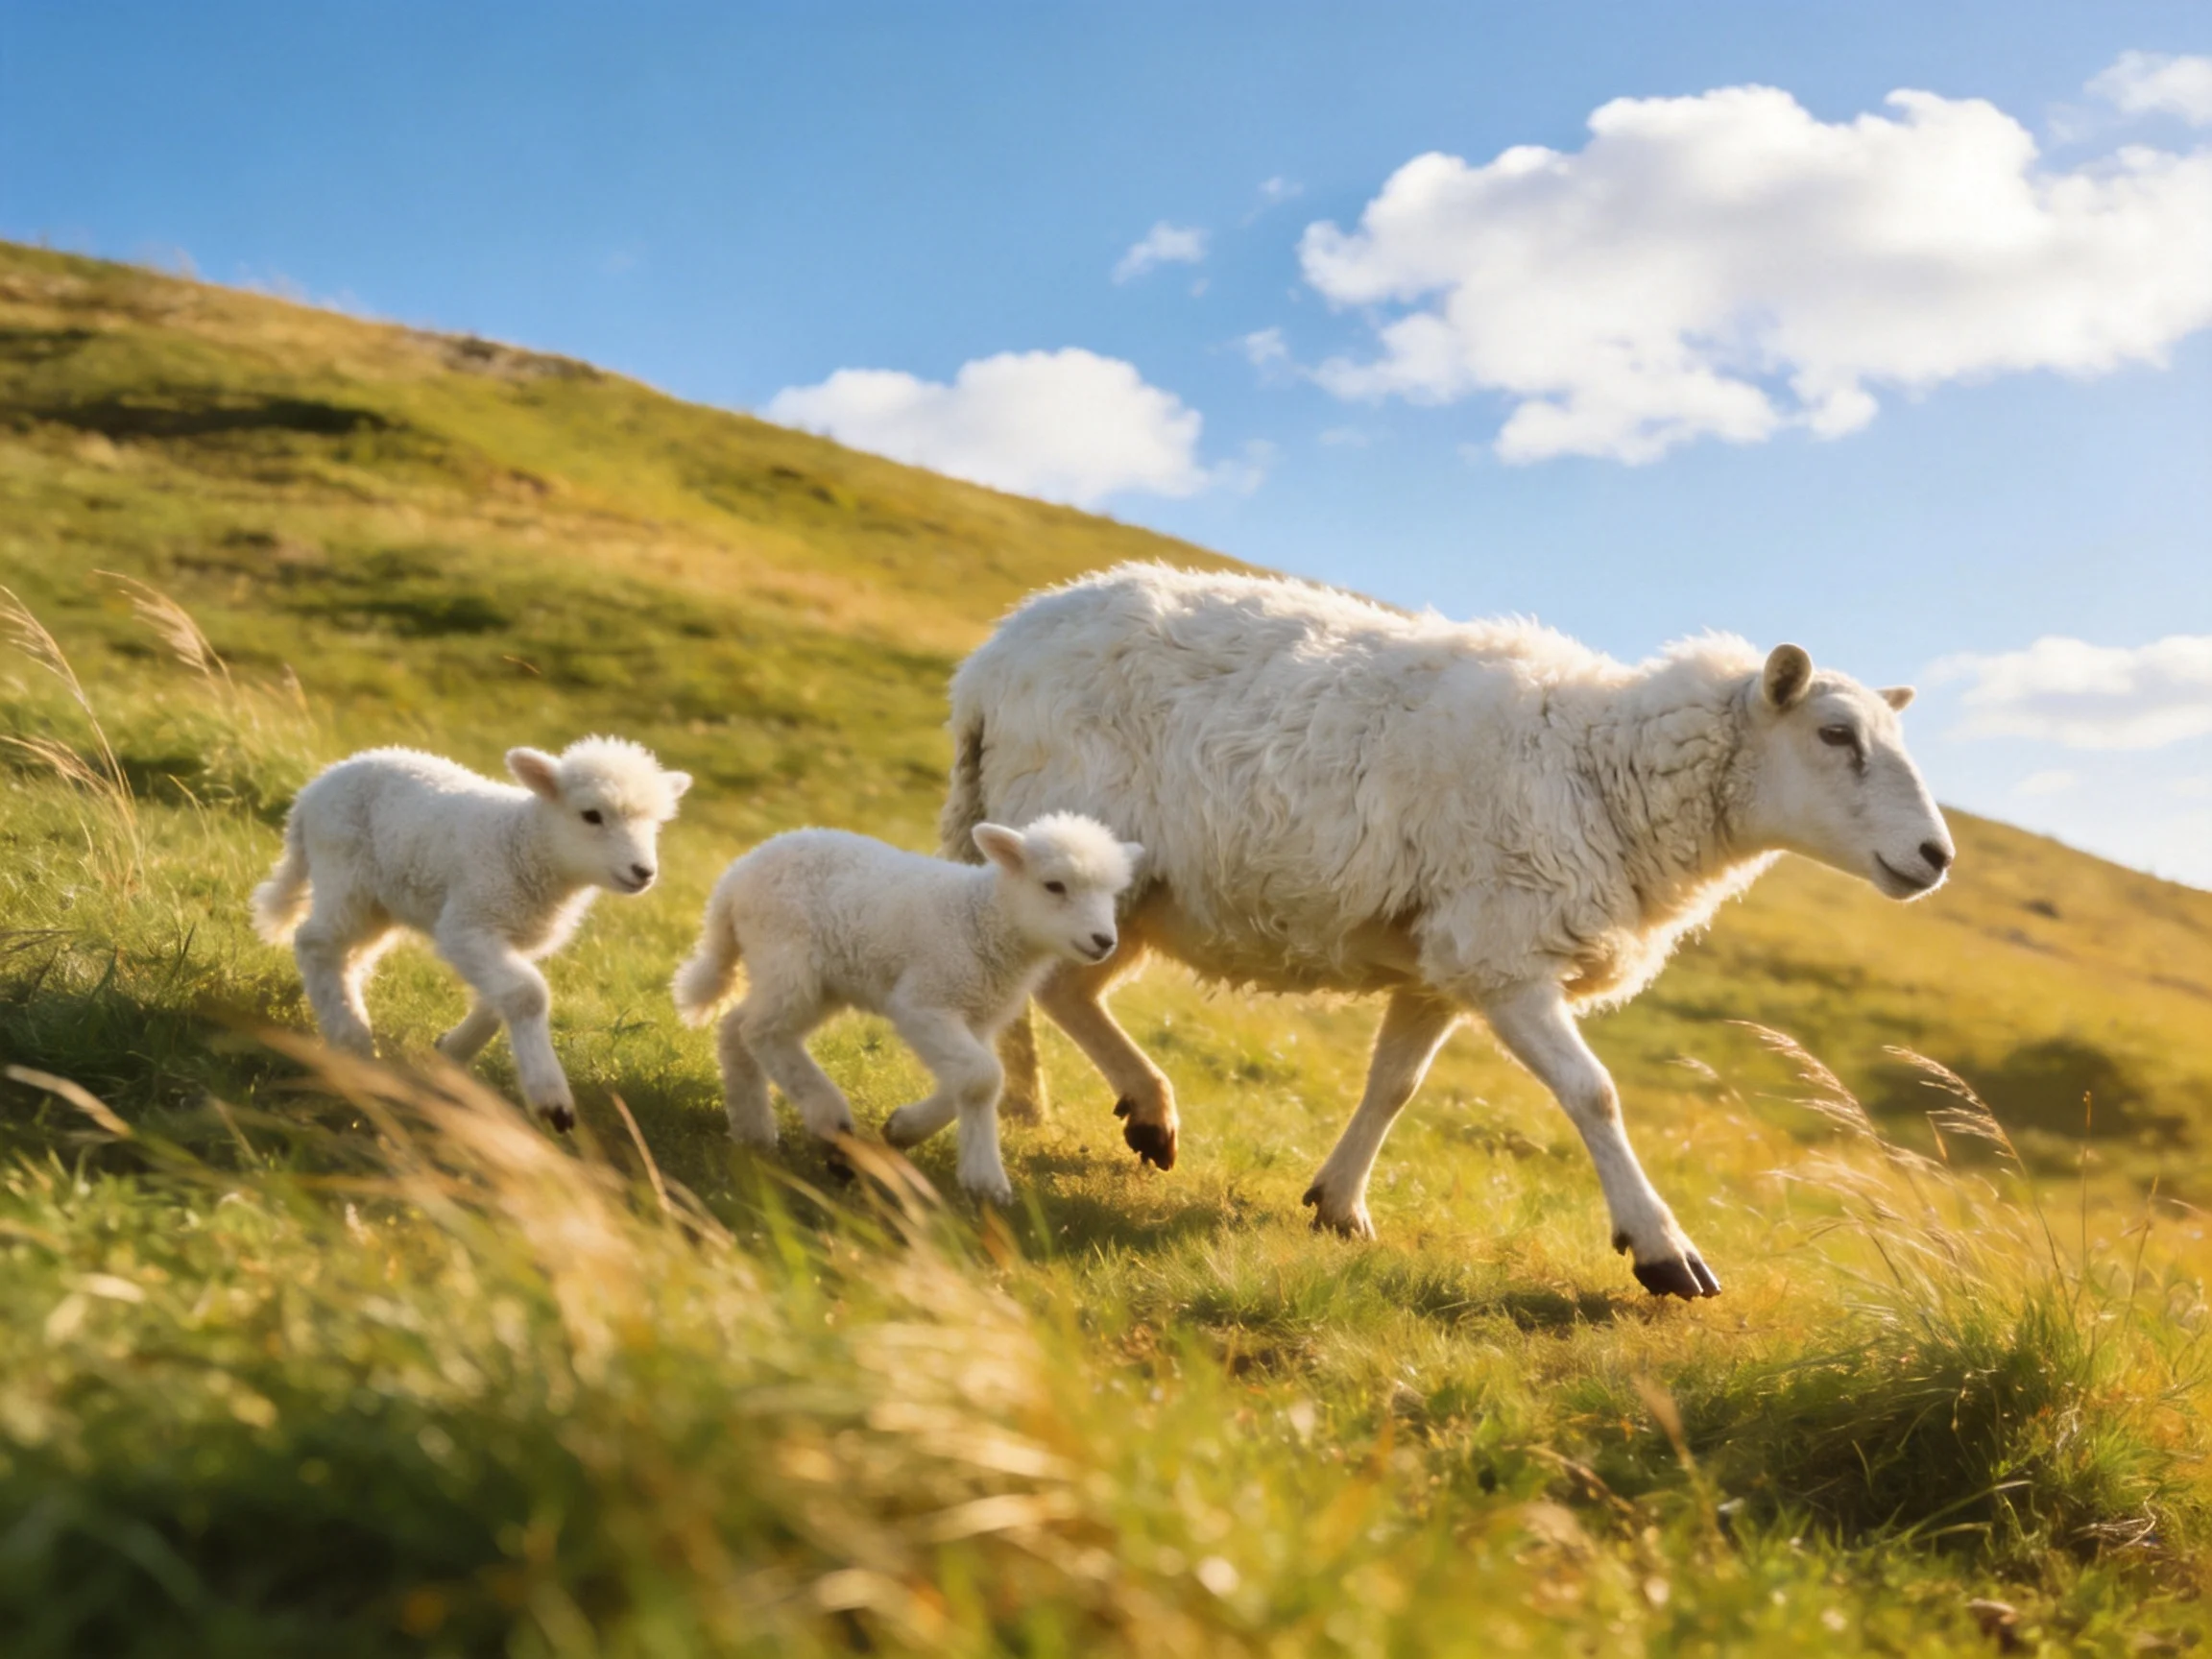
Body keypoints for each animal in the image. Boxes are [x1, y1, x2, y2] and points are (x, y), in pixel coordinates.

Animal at [251, 737, 692, 1129]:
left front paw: (449, 1051)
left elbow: (500, 998)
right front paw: (552, 1100)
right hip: (346, 876)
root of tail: (309, 794)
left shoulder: (508, 935)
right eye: (591, 815)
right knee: (316, 943)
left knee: (349, 957)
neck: (523, 843)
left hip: (379, 901)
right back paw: (352, 1040)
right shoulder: (468, 922)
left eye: (655, 824)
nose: (643, 872)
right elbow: (527, 994)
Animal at [670, 814, 1141, 1204]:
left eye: (1112, 894)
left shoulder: (975, 1016)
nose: (1104, 941)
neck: (982, 917)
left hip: (809, 980)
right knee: (761, 1031)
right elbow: (982, 1078)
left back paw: (754, 1132)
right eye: (1054, 886)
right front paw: (985, 1179)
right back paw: (828, 1116)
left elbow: (971, 1080)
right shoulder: (924, 1001)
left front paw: (903, 1127)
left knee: (736, 1028)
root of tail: (734, 879)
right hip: (790, 960)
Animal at [942, 562, 1955, 1299]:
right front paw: (1663, 1249)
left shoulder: (1441, 964)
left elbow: (1396, 1085)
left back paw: (1083, 1107)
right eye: (1834, 735)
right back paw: (1104, 1108)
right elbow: (1595, 1095)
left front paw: (1339, 1205)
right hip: (1086, 862)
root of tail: (988, 662)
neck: (1602, 766)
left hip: (1125, 894)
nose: (1936, 855)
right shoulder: (1504, 954)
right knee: (1046, 981)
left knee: (1058, 988)